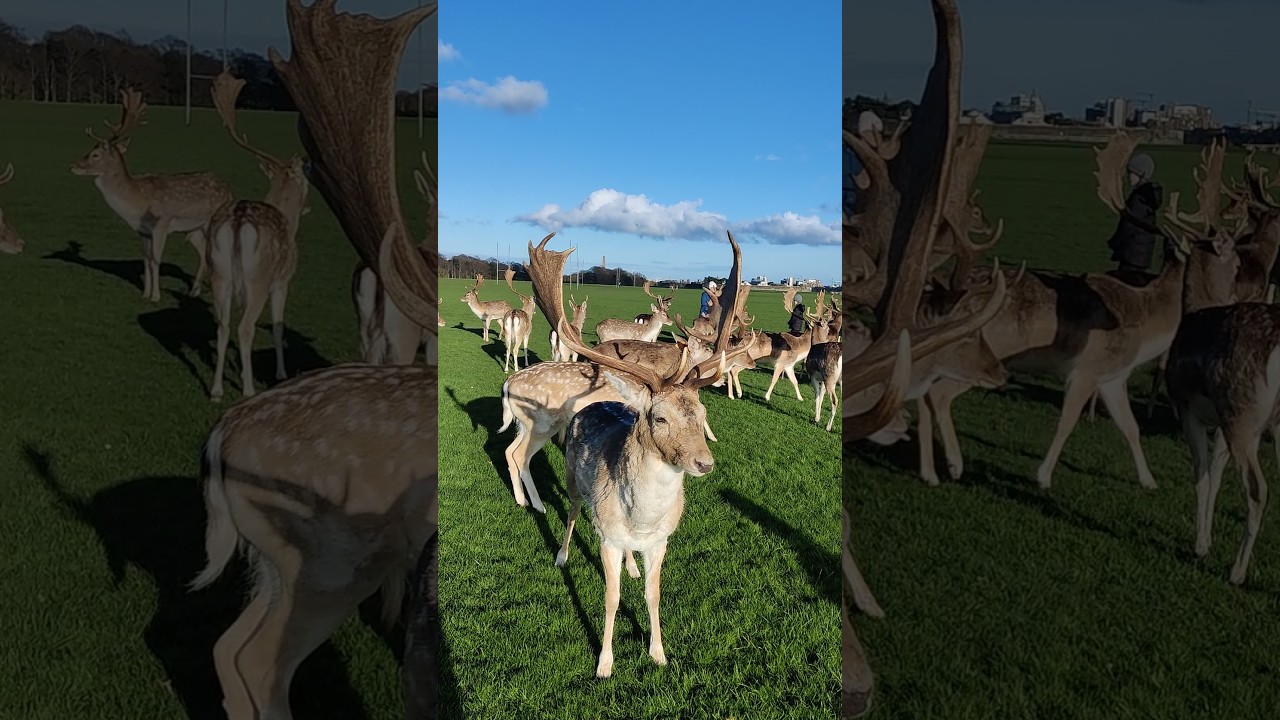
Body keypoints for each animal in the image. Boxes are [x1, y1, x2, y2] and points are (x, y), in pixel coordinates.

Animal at [70, 87, 233, 302]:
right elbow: (146, 260)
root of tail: (229, 191)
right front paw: (144, 294)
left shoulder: (161, 225)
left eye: (96, 154)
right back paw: (194, 291)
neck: (136, 205)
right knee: (202, 254)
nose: (73, 165)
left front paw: (155, 296)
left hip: (214, 223)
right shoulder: (142, 231)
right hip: (194, 228)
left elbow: (156, 260)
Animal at [205, 72, 311, 402]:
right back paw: (249, 391)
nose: (308, 203)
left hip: (219, 273)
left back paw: (216, 390)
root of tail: (239, 219)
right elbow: (277, 326)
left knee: (223, 326)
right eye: (305, 181)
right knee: (244, 328)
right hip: (258, 278)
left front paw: (240, 373)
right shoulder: (283, 280)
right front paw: (280, 372)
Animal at [528, 230, 758, 679]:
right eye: (659, 417)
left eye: (702, 413)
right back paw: (563, 556)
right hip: (573, 479)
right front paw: (604, 664)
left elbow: (653, 596)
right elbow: (611, 599)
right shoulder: (607, 538)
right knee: (571, 512)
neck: (641, 519)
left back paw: (632, 568)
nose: (705, 462)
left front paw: (658, 653)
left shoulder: (660, 541)